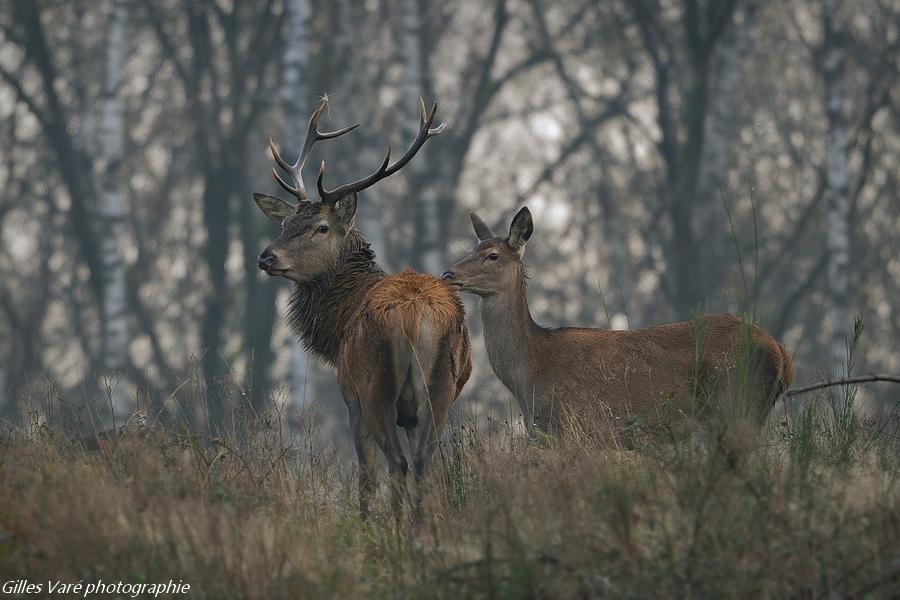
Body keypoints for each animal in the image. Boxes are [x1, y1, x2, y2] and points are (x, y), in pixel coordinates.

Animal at [253, 97, 472, 516]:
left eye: (321, 228)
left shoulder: (350, 396)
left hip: (376, 388)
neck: (338, 324)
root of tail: (414, 315)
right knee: (425, 465)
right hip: (440, 390)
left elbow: (367, 475)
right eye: (285, 223)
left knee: (397, 464)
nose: (266, 257)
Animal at [444, 209, 796, 438]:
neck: (530, 374)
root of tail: (781, 352)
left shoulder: (574, 426)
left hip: (737, 402)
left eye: (492, 255)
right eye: (472, 248)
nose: (449, 273)